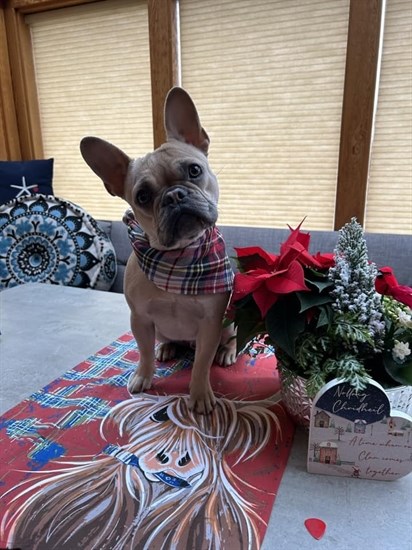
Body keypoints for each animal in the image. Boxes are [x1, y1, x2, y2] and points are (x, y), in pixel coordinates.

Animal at [80, 87, 235, 414]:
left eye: (194, 170)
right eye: (142, 196)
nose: (174, 196)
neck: (179, 259)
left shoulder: (211, 323)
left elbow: (201, 364)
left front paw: (200, 394)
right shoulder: (139, 319)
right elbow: (143, 352)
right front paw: (144, 376)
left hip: (230, 321)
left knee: (229, 341)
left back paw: (227, 353)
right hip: (161, 328)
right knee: (162, 342)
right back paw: (166, 347)